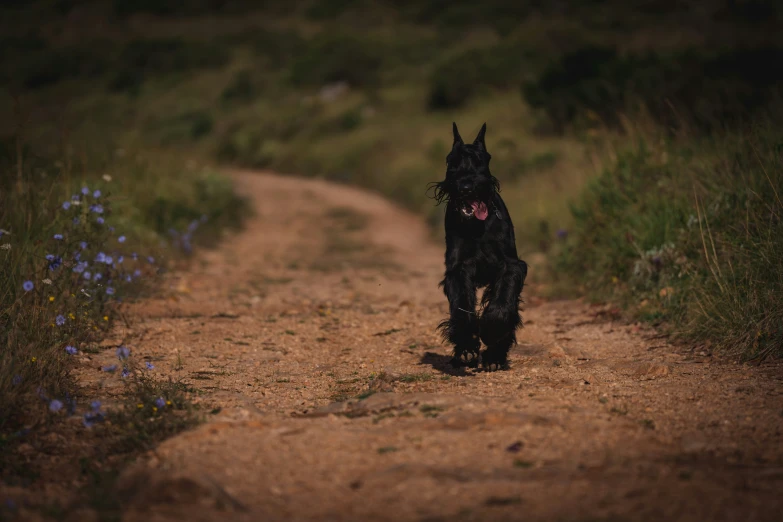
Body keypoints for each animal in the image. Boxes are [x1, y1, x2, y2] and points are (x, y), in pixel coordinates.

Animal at [426, 123, 528, 370]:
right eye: (451, 161)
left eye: (480, 160)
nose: (465, 186)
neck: (476, 226)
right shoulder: (458, 268)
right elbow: (462, 306)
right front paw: (466, 345)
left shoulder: (511, 265)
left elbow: (503, 301)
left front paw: (491, 330)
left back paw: (495, 357)